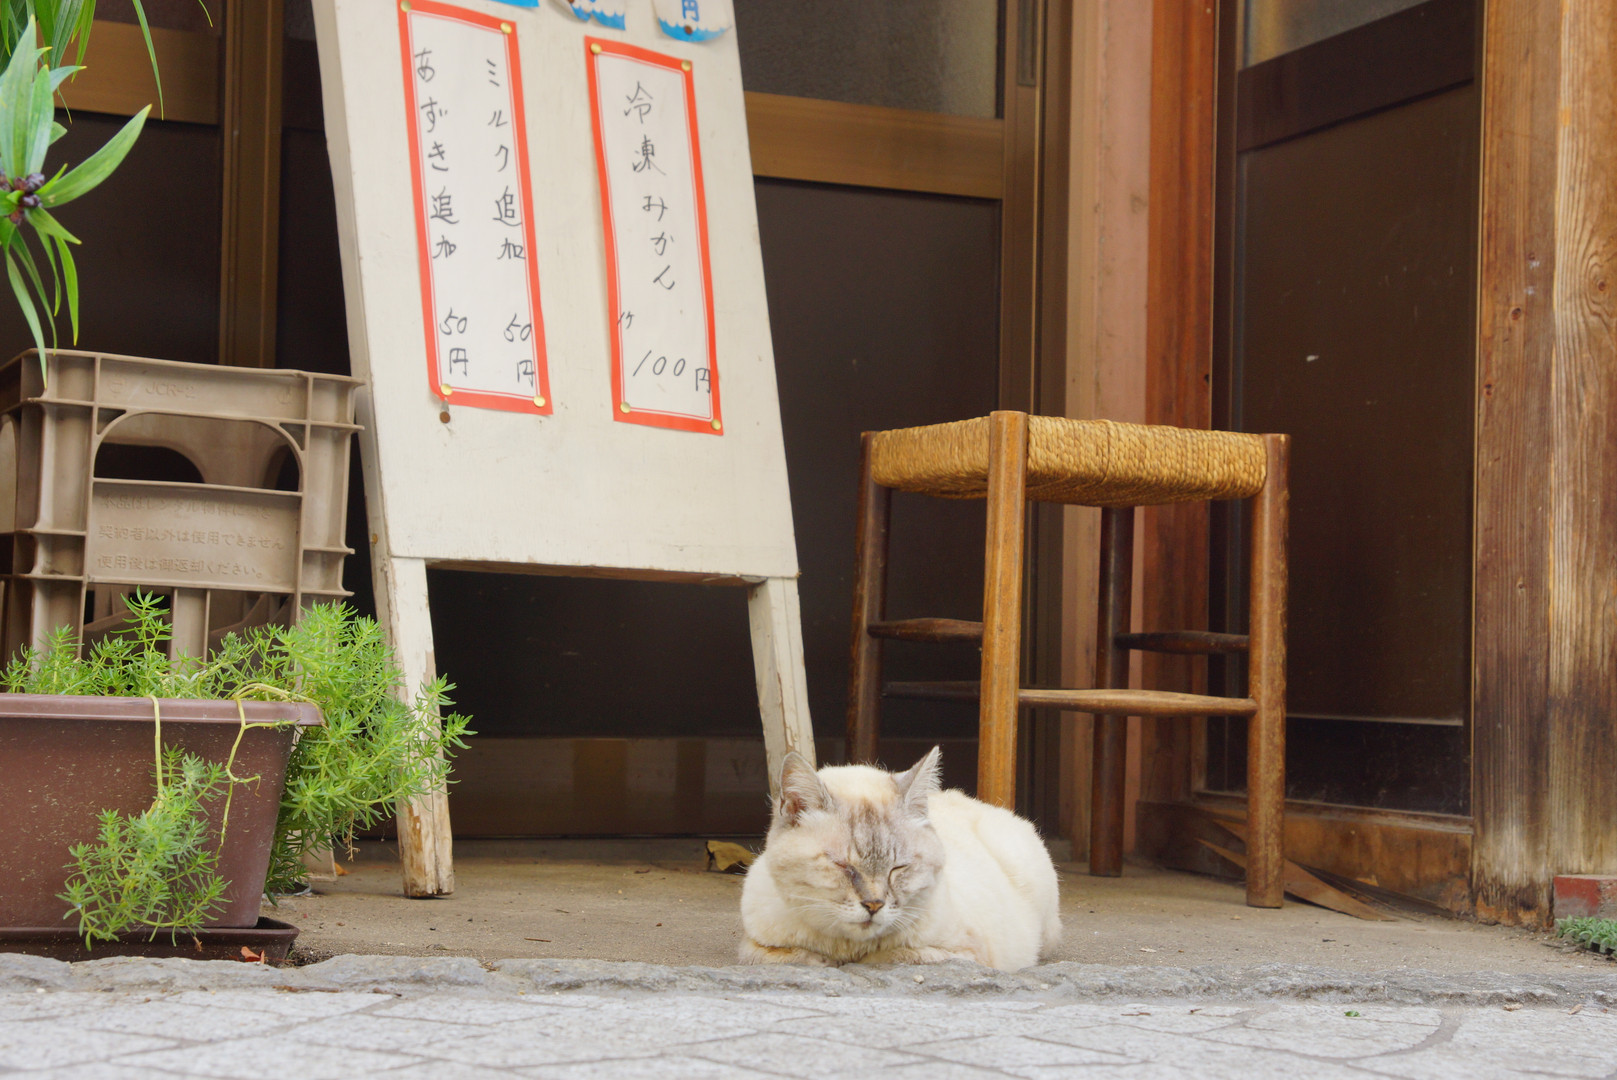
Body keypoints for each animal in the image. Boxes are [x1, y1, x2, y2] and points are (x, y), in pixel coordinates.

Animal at [738, 747, 1061, 971]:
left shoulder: (964, 954)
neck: (846, 948)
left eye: (898, 869)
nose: (874, 905)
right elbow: (784, 956)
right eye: (843, 866)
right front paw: (823, 961)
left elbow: (888, 957)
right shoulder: (757, 945)